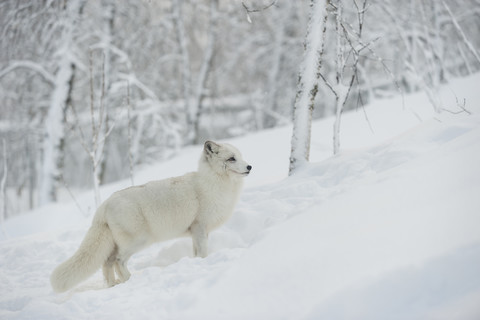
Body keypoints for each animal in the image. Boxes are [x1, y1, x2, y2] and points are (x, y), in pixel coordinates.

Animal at [49, 141, 251, 292]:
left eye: (240, 156)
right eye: (231, 158)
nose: (250, 166)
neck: (213, 184)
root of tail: (104, 204)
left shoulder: (197, 232)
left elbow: (196, 253)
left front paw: (195, 263)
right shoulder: (199, 227)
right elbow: (202, 253)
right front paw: (202, 263)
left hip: (116, 244)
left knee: (107, 263)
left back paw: (113, 285)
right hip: (139, 241)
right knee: (118, 261)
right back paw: (128, 280)